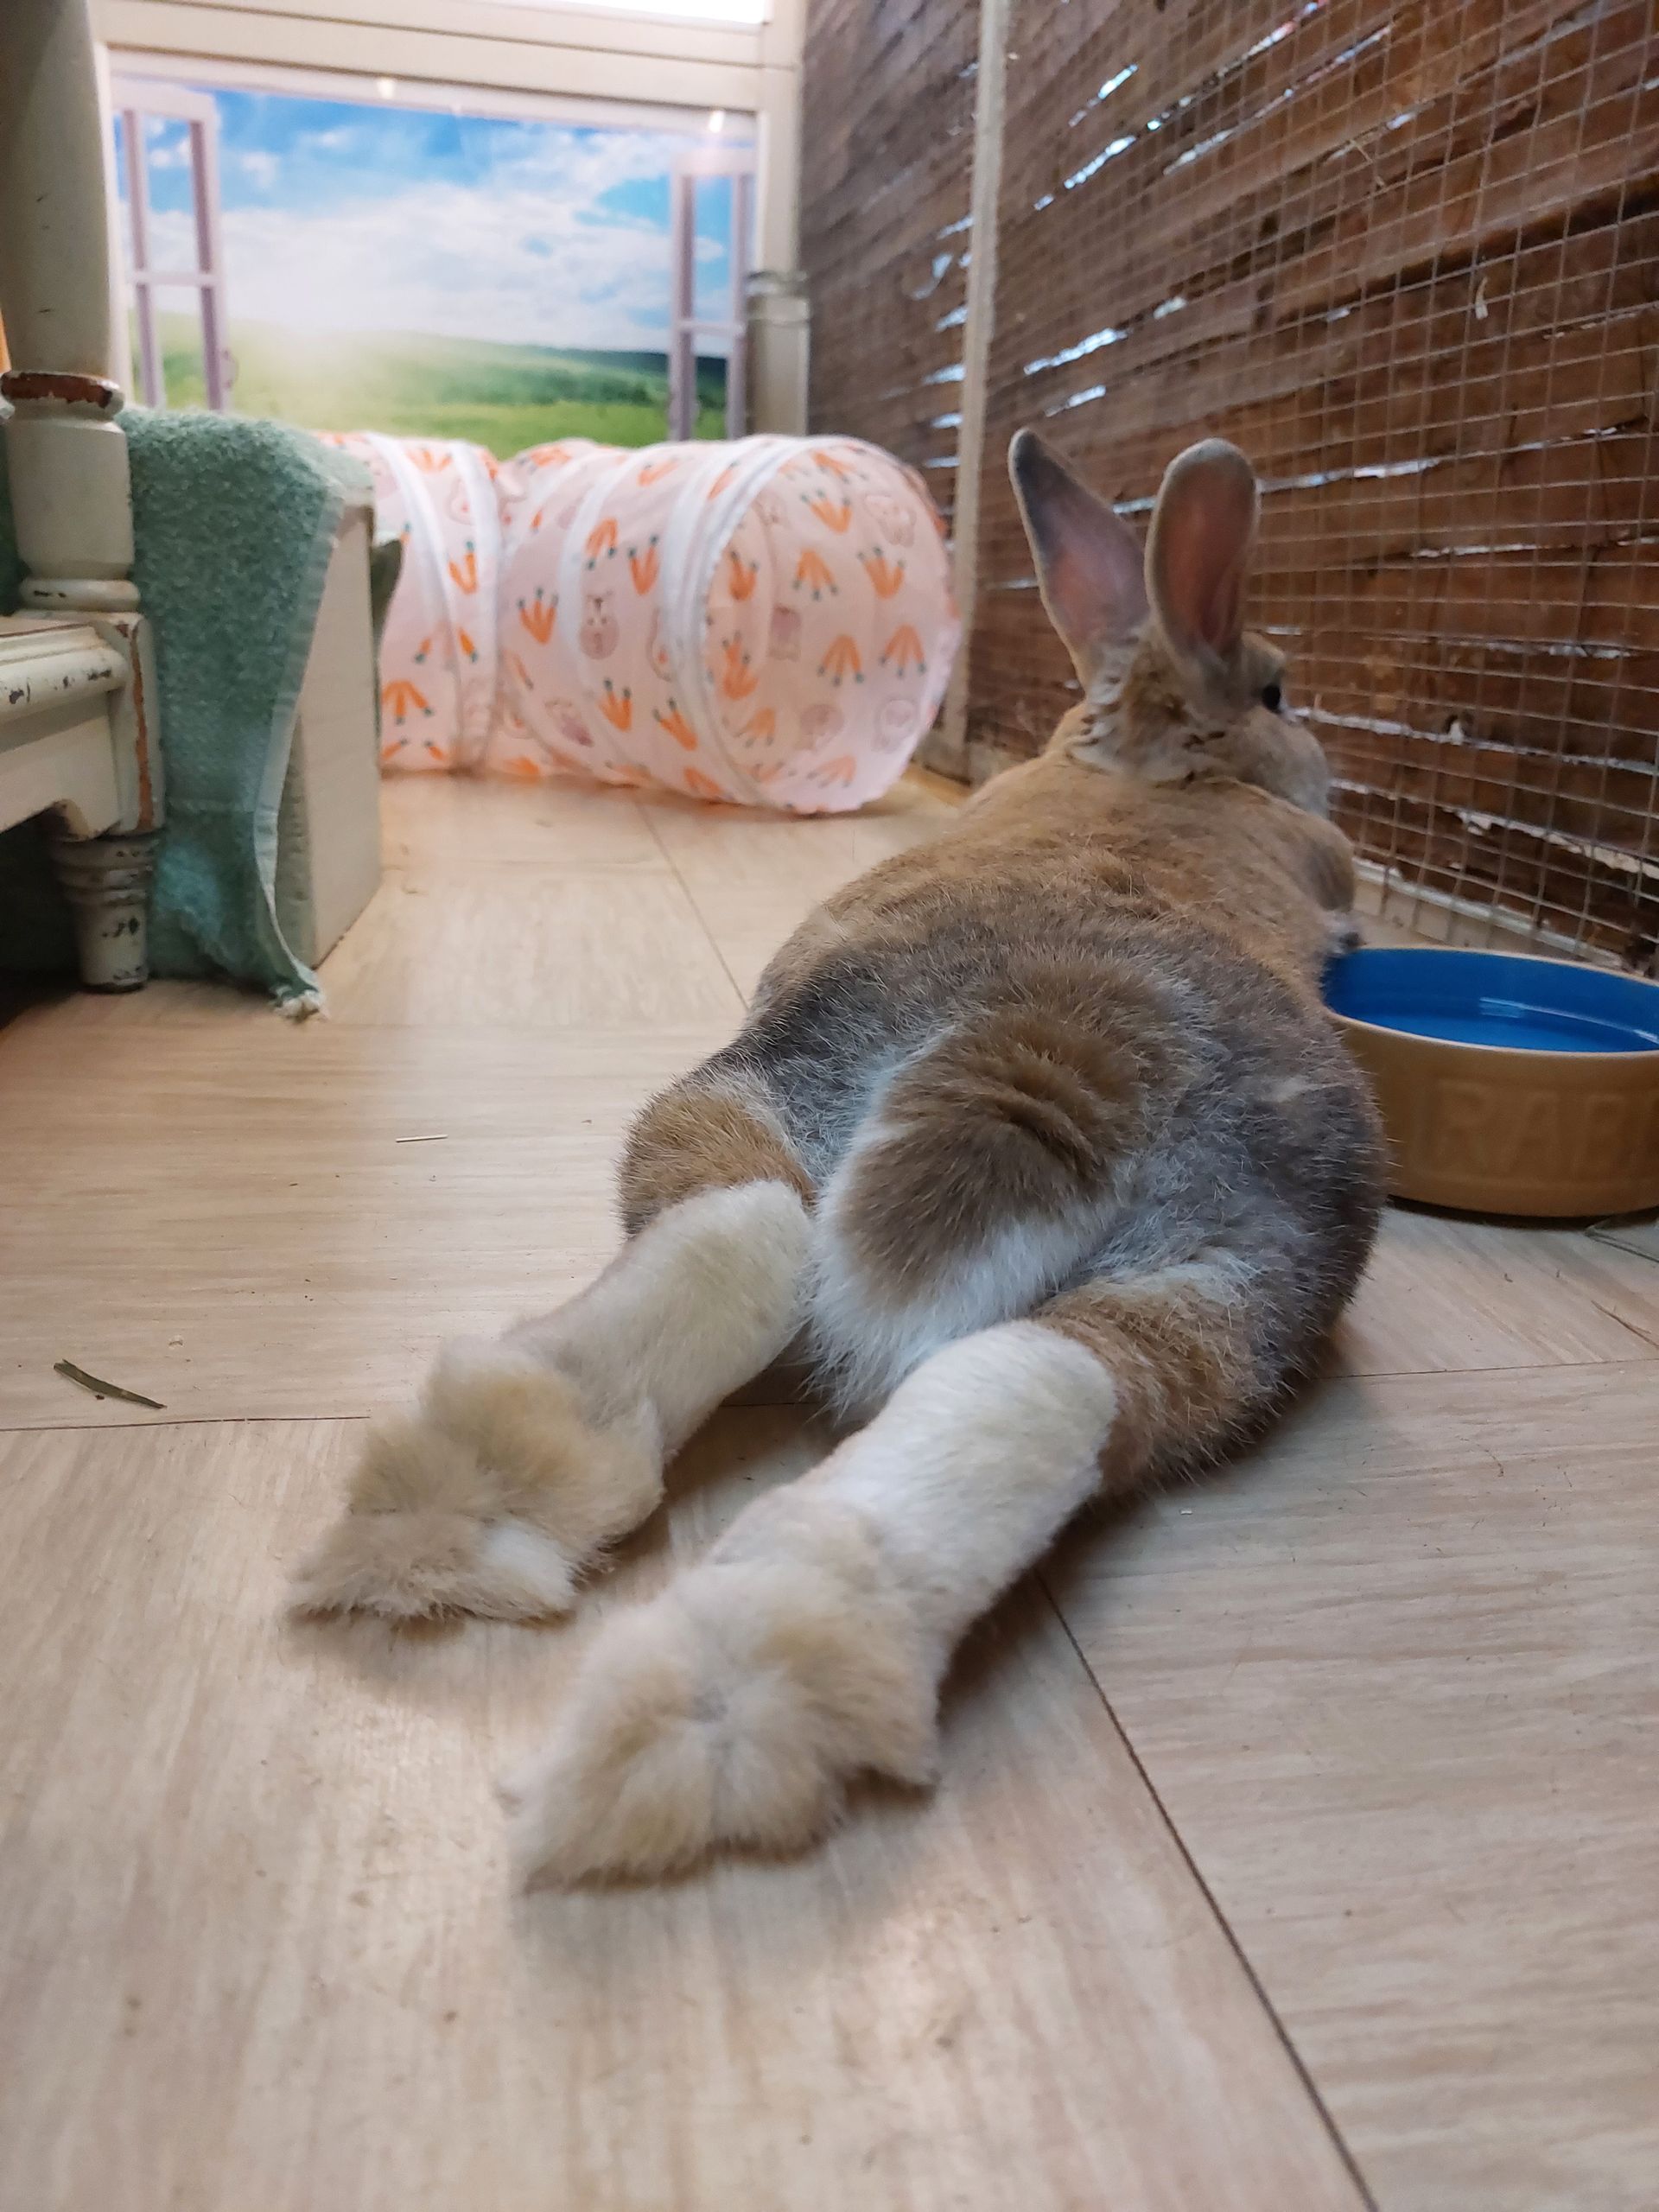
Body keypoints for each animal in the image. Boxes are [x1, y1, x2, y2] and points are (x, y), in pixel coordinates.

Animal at [293, 433, 1385, 1886]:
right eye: (1278, 688)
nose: (1309, 747)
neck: (1148, 762)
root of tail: (1071, 1027)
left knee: (801, 1258)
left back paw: (586, 1593)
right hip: (1231, 1265)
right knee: (989, 1348)